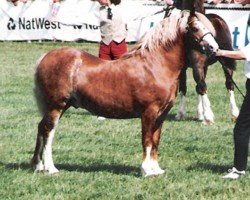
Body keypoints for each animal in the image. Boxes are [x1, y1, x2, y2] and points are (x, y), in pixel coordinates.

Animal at [29, 9, 219, 177]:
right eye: (194, 28)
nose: (214, 47)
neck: (155, 65)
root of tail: (45, 57)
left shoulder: (161, 114)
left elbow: (155, 141)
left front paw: (156, 169)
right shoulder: (149, 112)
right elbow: (147, 140)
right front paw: (146, 171)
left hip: (60, 106)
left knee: (41, 127)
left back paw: (38, 166)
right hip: (56, 106)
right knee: (48, 131)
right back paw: (50, 168)